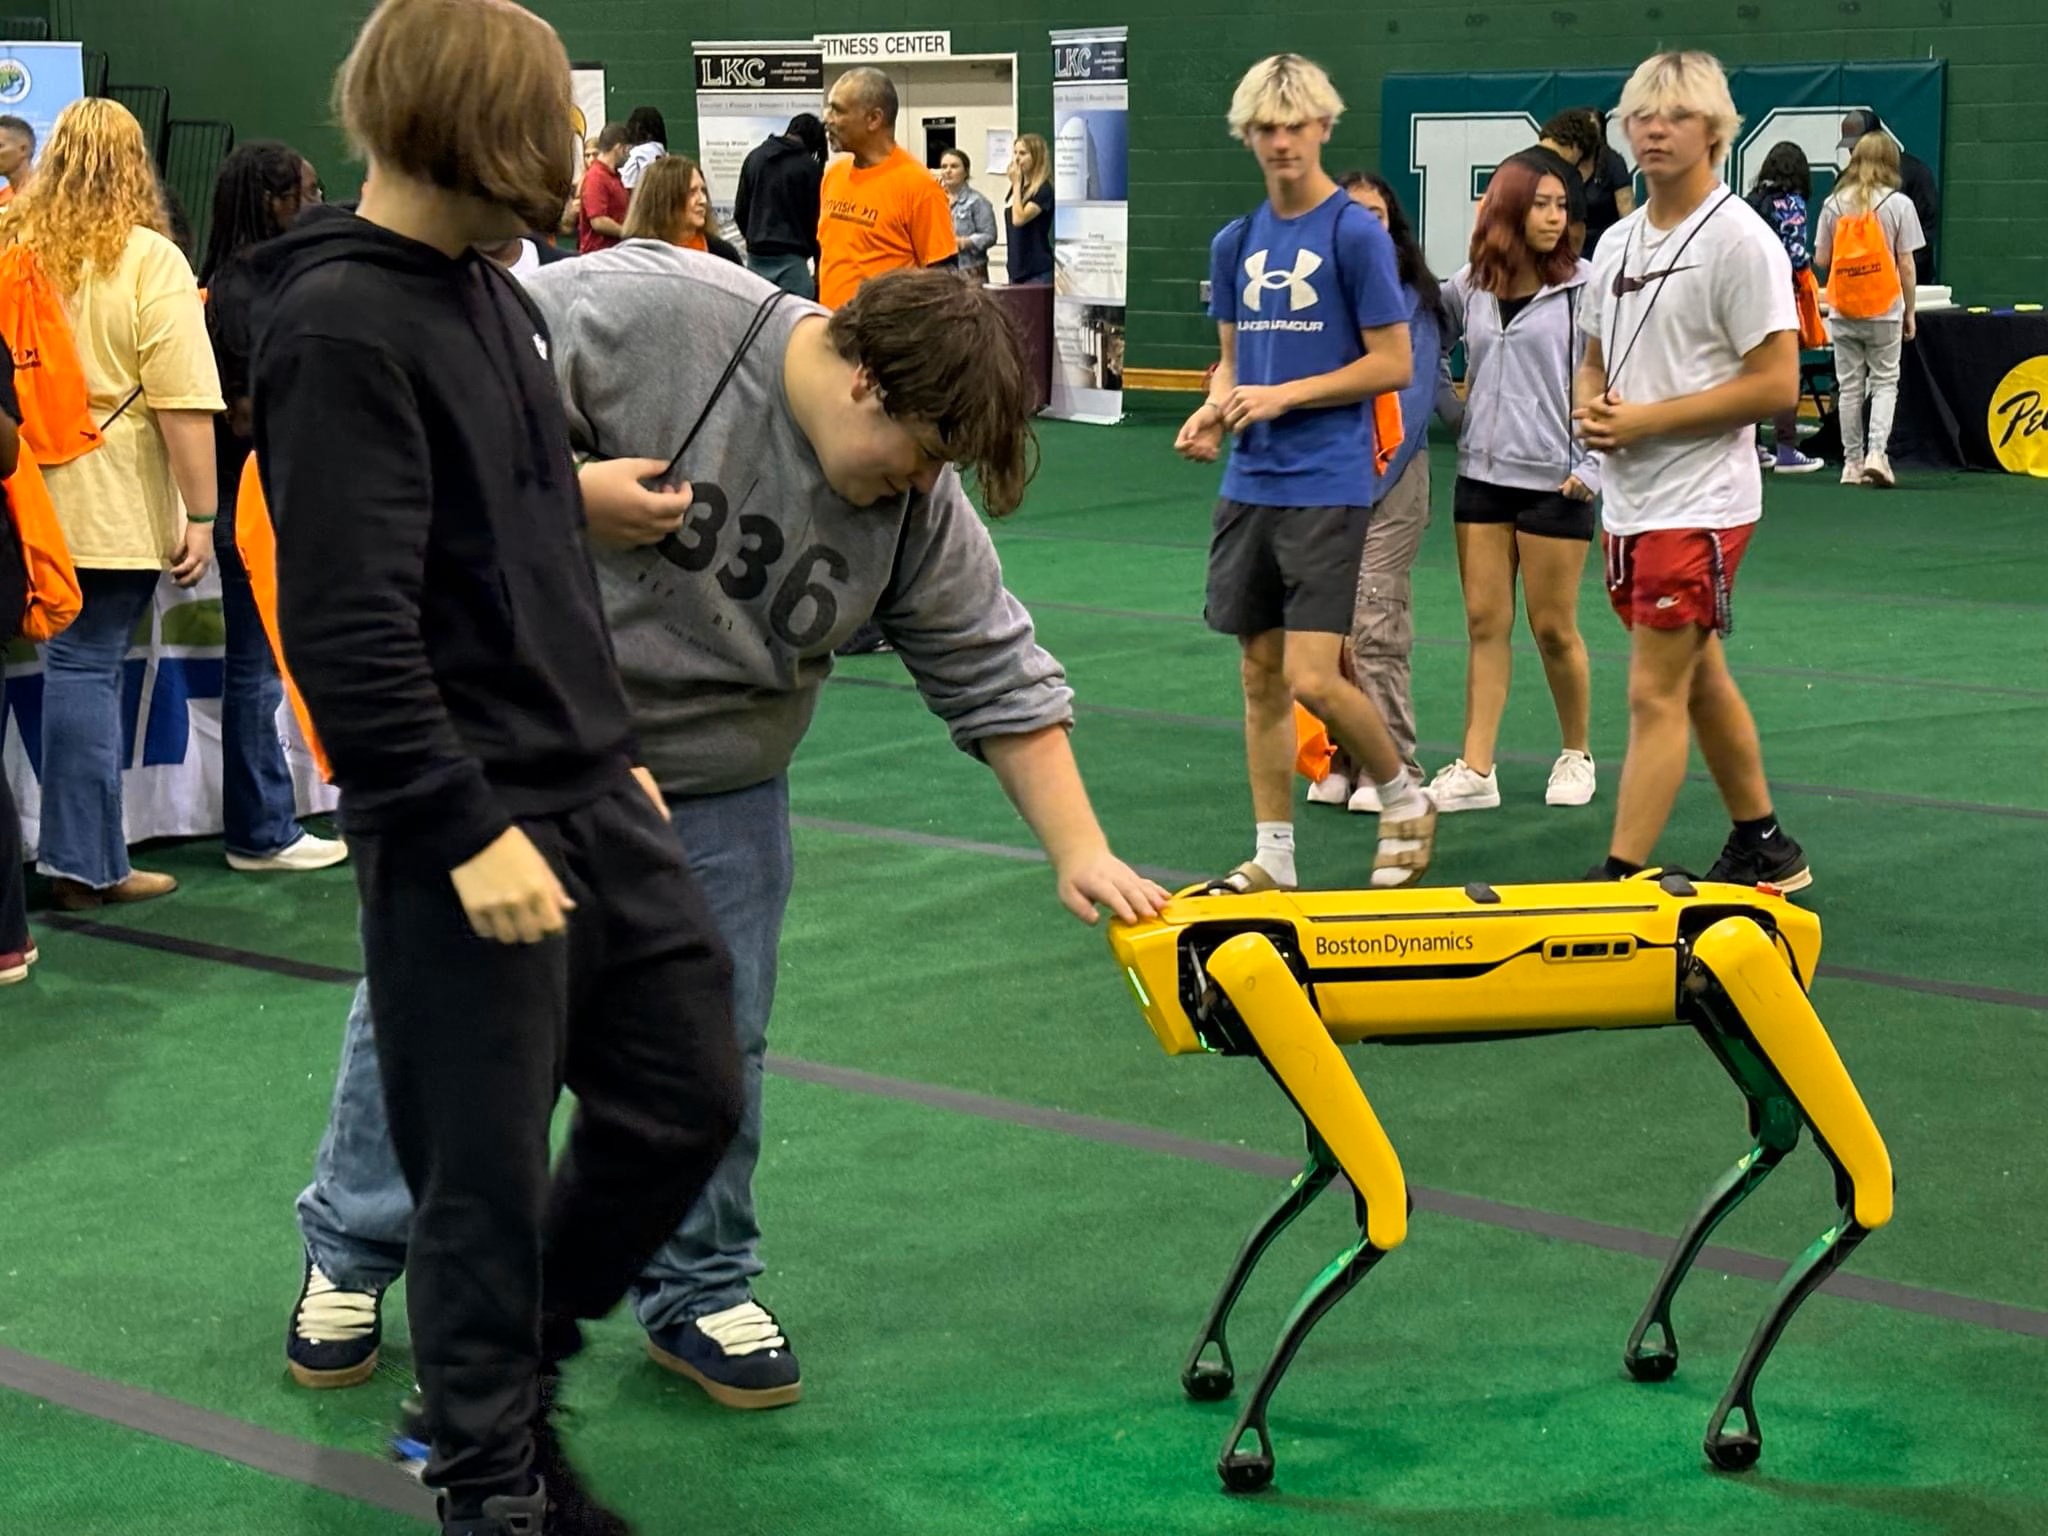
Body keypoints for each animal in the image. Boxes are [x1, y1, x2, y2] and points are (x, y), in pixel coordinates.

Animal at [1114, 872, 1892, 1499]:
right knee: (1779, 1146)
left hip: (1745, 980)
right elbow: (1338, 1196)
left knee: (1845, 1179)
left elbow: (1380, 1211)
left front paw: (1246, 1448)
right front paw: (1220, 1380)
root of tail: (1780, 912)